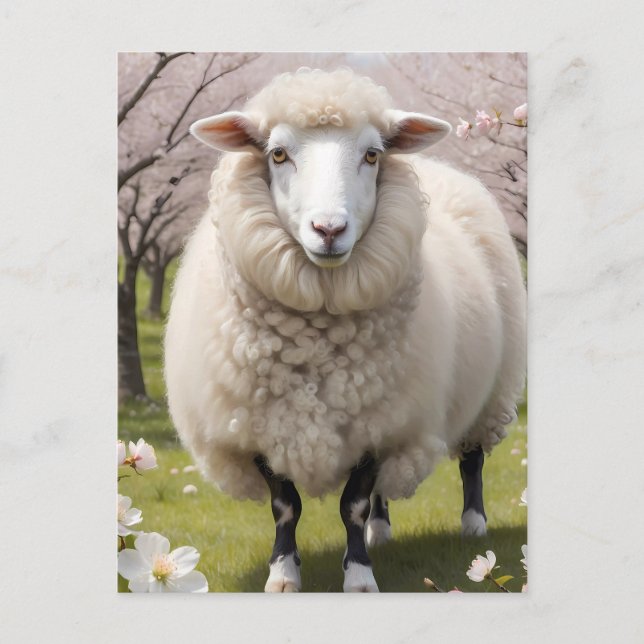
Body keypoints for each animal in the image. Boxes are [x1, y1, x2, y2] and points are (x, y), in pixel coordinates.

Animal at [164, 67, 526, 593]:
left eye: (372, 155)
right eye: (277, 153)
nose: (329, 230)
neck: (317, 337)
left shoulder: (380, 418)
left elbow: (351, 503)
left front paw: (358, 577)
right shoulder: (262, 422)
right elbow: (286, 506)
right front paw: (283, 573)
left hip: (490, 389)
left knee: (472, 460)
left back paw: (473, 527)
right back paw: (381, 531)